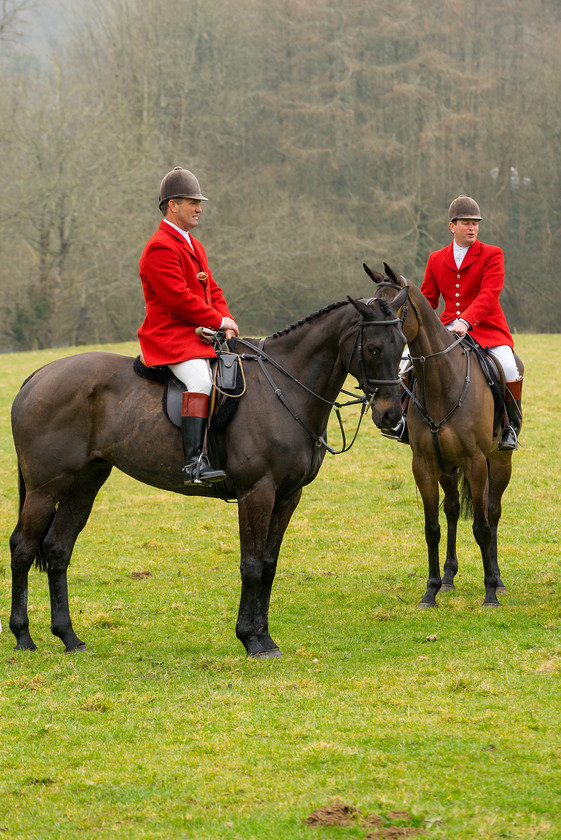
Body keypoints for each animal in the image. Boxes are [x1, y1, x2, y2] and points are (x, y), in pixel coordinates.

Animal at [8, 286, 406, 660]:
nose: (391, 415)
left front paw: (266, 638)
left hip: (83, 485)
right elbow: (251, 565)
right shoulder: (257, 492)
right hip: (45, 487)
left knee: (58, 549)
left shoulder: (288, 496)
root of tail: (38, 375)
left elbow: (269, 565)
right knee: (23, 547)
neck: (283, 386)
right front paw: (250, 639)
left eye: (403, 345)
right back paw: (23, 636)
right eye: (373, 348)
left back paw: (69, 637)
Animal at [366, 262, 520, 604]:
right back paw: (449, 578)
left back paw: (499, 579)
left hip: (497, 461)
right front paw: (431, 591)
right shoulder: (424, 465)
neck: (443, 382)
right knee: (451, 510)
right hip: (447, 466)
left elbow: (481, 527)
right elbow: (432, 527)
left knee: (492, 512)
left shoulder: (475, 462)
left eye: (392, 310)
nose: (370, 347)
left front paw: (490, 593)